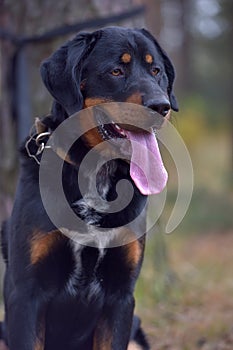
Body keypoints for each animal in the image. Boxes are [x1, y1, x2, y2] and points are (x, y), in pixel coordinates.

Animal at [0, 27, 178, 350]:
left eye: (156, 70)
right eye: (116, 71)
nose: (162, 106)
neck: (97, 173)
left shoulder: (121, 297)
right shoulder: (26, 293)